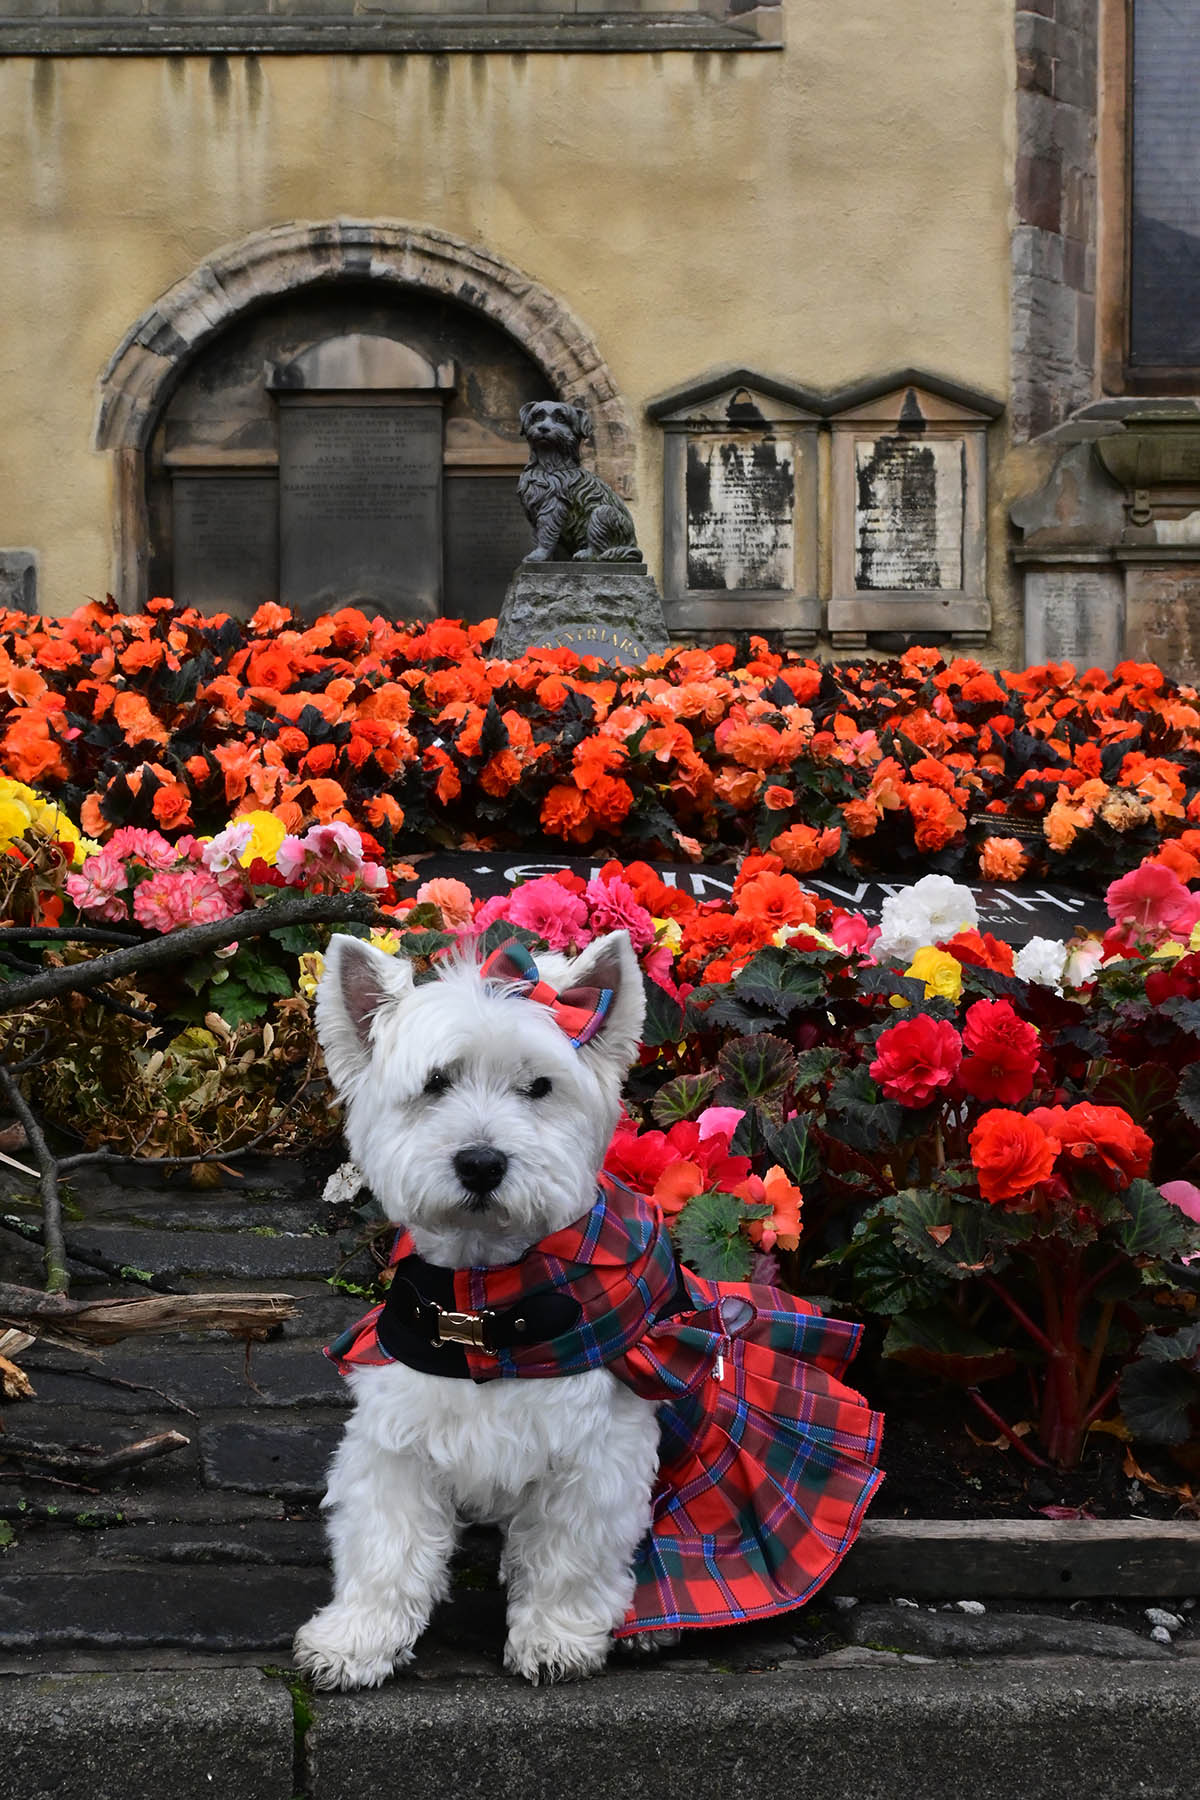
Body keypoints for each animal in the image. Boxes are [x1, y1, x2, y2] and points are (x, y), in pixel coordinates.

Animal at [295, 928, 662, 1684]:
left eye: (540, 1086)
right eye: (436, 1082)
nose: (482, 1163)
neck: (485, 1300)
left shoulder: (598, 1447)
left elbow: (571, 1552)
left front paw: (556, 1639)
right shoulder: (396, 1436)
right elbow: (385, 1543)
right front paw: (356, 1639)